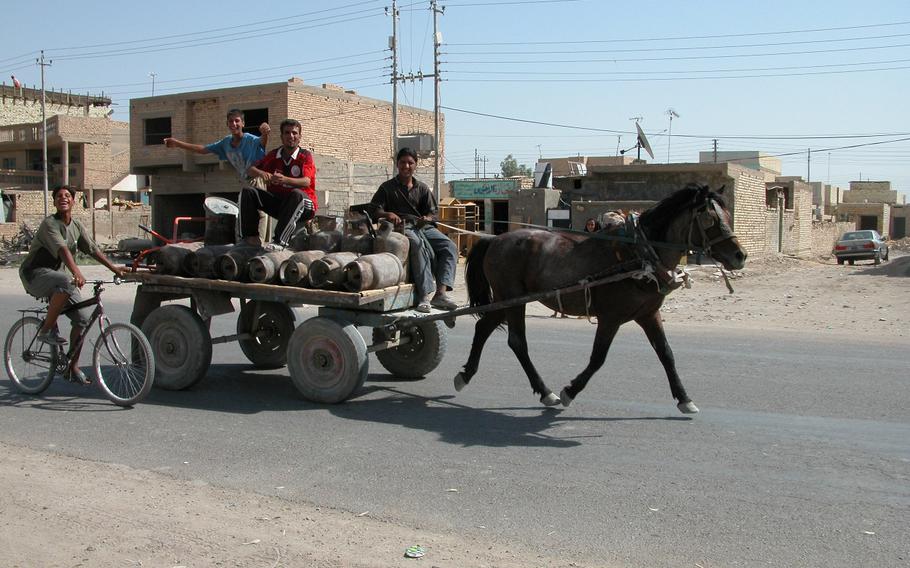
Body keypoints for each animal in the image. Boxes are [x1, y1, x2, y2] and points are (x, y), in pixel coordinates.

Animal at [456, 184, 748, 414]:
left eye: (728, 214)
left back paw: (466, 374)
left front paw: (684, 398)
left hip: (506, 299)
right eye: (709, 219)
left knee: (483, 328)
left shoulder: (649, 314)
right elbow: (598, 358)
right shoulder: (610, 317)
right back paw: (545, 391)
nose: (740, 255)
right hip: (513, 298)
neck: (639, 254)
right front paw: (570, 391)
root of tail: (494, 239)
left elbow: (666, 353)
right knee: (517, 342)